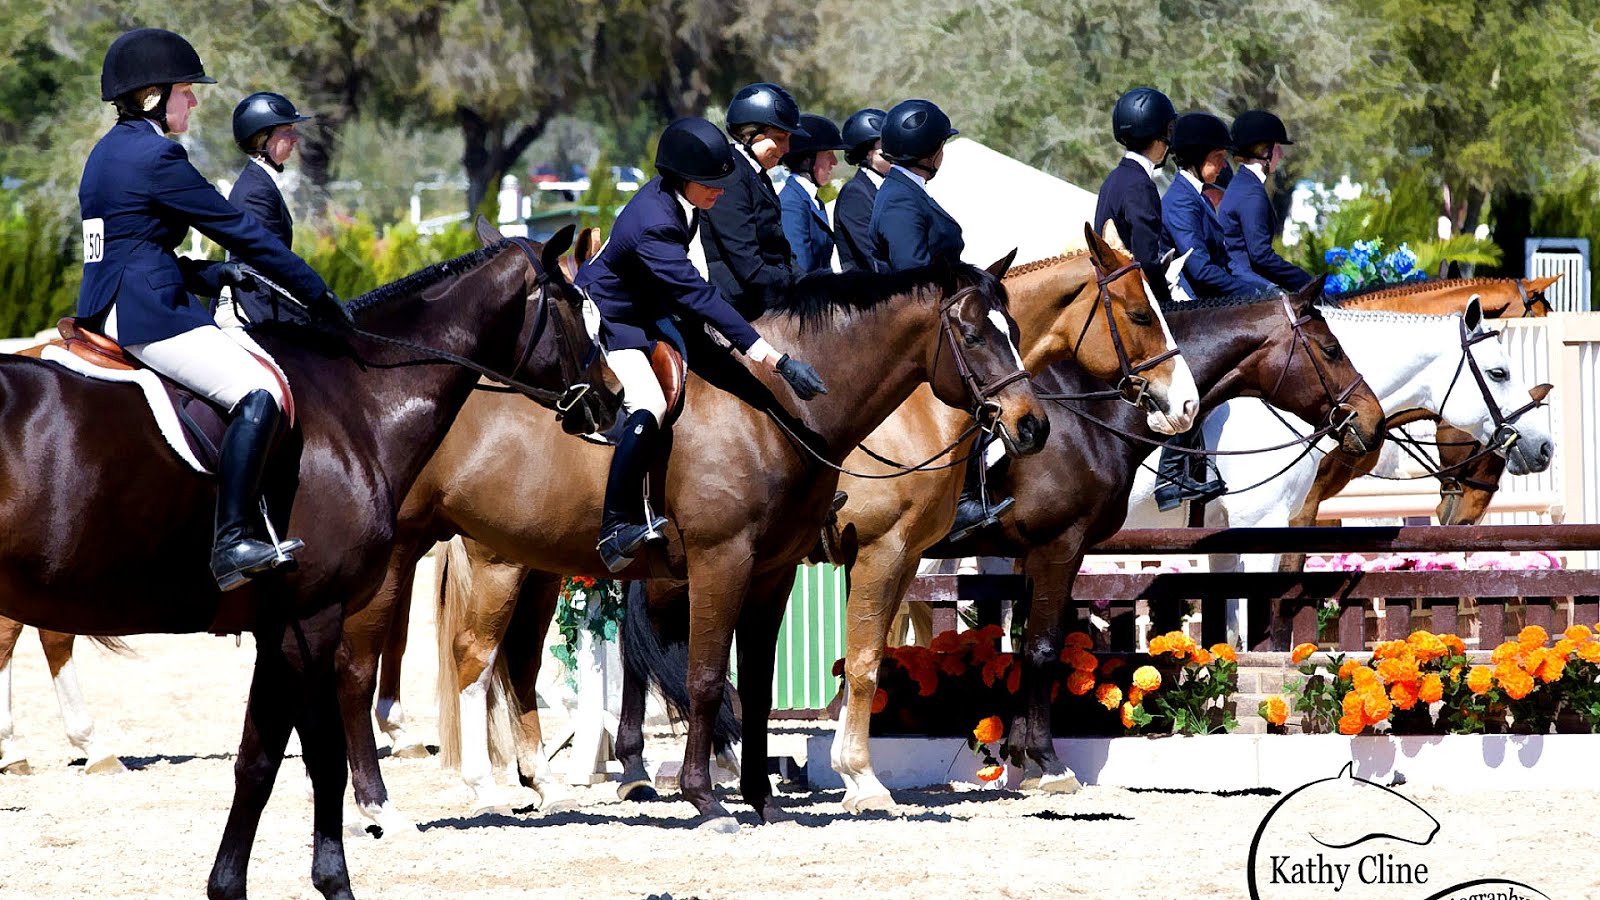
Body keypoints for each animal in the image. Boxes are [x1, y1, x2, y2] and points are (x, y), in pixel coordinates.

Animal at [0, 219, 614, 899]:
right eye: (578, 306)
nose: (613, 401)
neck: (358, 400)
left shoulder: (281, 627)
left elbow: (263, 758)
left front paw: (231, 886)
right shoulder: (312, 618)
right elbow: (315, 757)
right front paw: (334, 878)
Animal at [414, 225, 1204, 816]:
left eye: (1014, 332)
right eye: (1141, 315)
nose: (1183, 404)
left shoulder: (857, 559)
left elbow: (856, 660)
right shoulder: (907, 550)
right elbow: (869, 660)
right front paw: (866, 778)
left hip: (540, 565)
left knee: (517, 665)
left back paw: (546, 785)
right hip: (500, 562)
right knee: (475, 662)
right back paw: (494, 787)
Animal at [821, 279, 1387, 807]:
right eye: (1331, 349)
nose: (1373, 420)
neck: (1085, 416)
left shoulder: (1029, 552)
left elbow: (1023, 646)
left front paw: (1020, 757)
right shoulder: (1060, 547)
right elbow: (1042, 649)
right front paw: (1047, 763)